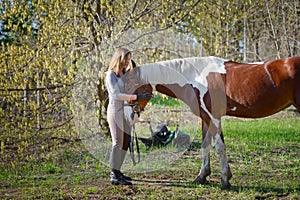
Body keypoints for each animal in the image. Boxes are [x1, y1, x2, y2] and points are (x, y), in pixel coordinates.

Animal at [123, 56, 300, 189]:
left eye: (132, 83)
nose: (129, 113)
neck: (196, 77)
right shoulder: (205, 117)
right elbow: (205, 145)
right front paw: (202, 176)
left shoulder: (214, 117)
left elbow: (219, 146)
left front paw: (225, 180)